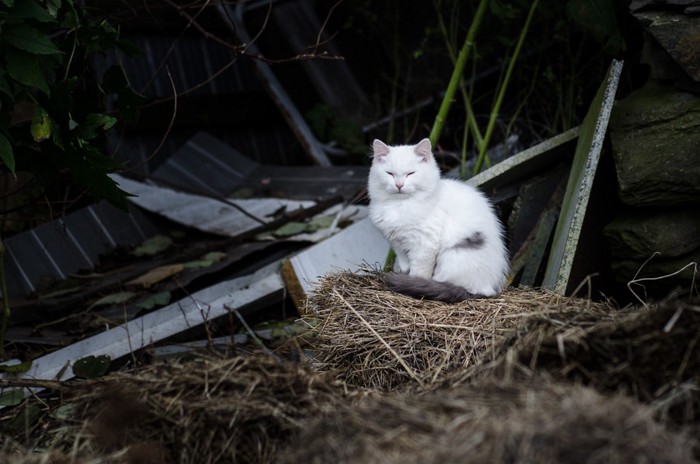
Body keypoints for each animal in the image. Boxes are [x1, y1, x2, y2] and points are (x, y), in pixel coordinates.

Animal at [366, 137, 508, 300]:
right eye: (390, 174)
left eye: (410, 174)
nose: (399, 185)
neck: (400, 205)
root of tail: (490, 288)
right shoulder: (398, 244)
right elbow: (404, 264)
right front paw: (403, 273)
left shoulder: (425, 245)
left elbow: (419, 272)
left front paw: (413, 282)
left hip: (453, 257)